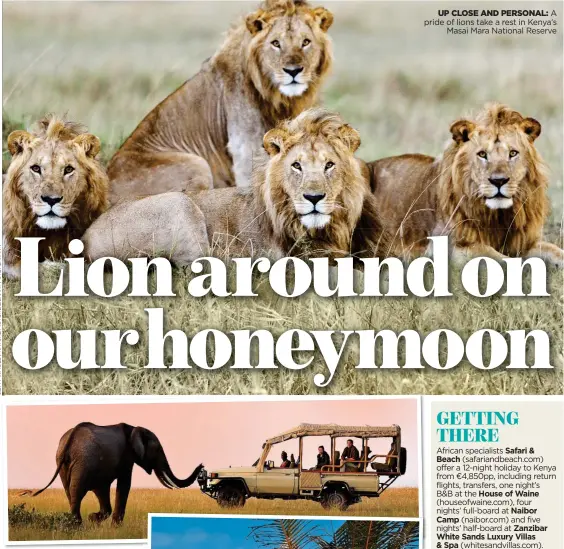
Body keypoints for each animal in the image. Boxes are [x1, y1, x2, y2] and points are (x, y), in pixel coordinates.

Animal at [28, 422, 205, 524]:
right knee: (76, 492)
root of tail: (70, 439)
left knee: (70, 492)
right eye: (157, 450)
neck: (135, 428)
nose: (201, 465)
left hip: (64, 462)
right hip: (84, 460)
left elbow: (102, 489)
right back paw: (77, 526)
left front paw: (94, 519)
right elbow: (124, 485)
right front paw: (114, 526)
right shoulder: (127, 456)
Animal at [108, 0, 332, 203]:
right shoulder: (244, 147)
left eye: (305, 42)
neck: (281, 98)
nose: (293, 71)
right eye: (276, 43)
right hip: (197, 165)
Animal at [366, 104, 564, 266]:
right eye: (482, 154)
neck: (498, 216)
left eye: (513, 153)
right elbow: (493, 255)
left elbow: (554, 250)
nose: (499, 181)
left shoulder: (524, 241)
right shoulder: (450, 246)